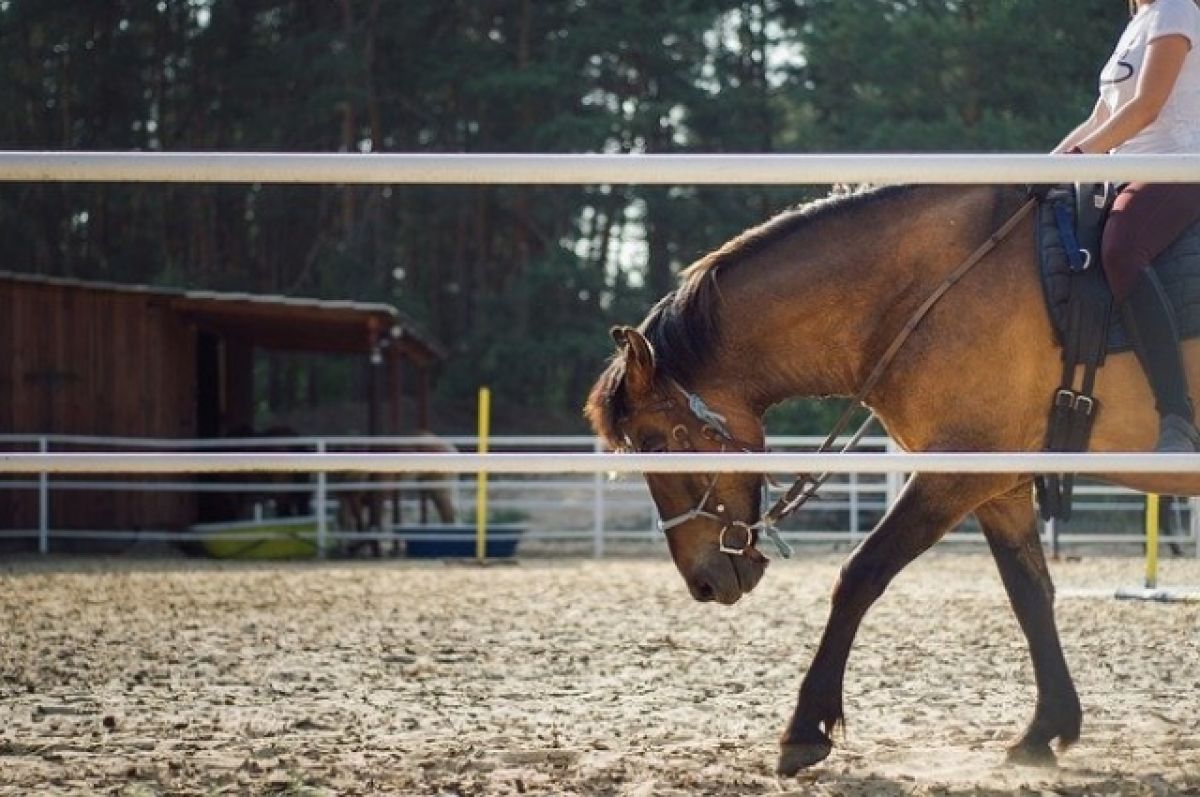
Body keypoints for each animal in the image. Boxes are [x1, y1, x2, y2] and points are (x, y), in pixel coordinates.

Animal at [583, 184, 1200, 772]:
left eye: (654, 444)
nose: (704, 582)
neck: (930, 289)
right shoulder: (997, 485)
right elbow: (1030, 595)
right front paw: (1044, 730)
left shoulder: (956, 473)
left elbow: (861, 573)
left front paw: (804, 729)